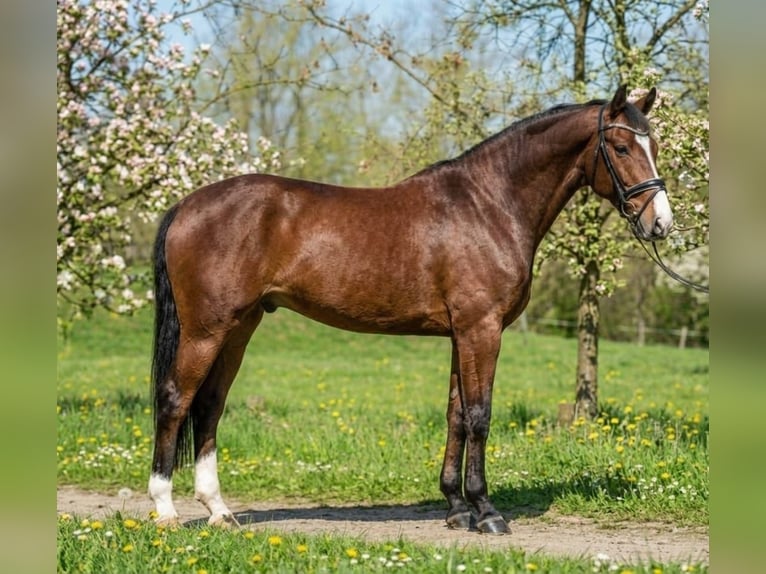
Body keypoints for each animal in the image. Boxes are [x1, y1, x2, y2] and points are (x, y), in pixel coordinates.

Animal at [149, 85, 672, 534]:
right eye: (621, 148)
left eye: (656, 145)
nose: (661, 223)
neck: (489, 204)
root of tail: (185, 206)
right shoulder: (482, 330)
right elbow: (479, 415)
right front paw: (487, 512)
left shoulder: (462, 334)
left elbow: (456, 415)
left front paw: (457, 508)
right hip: (206, 330)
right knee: (175, 400)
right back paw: (165, 512)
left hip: (239, 327)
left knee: (210, 406)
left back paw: (219, 512)